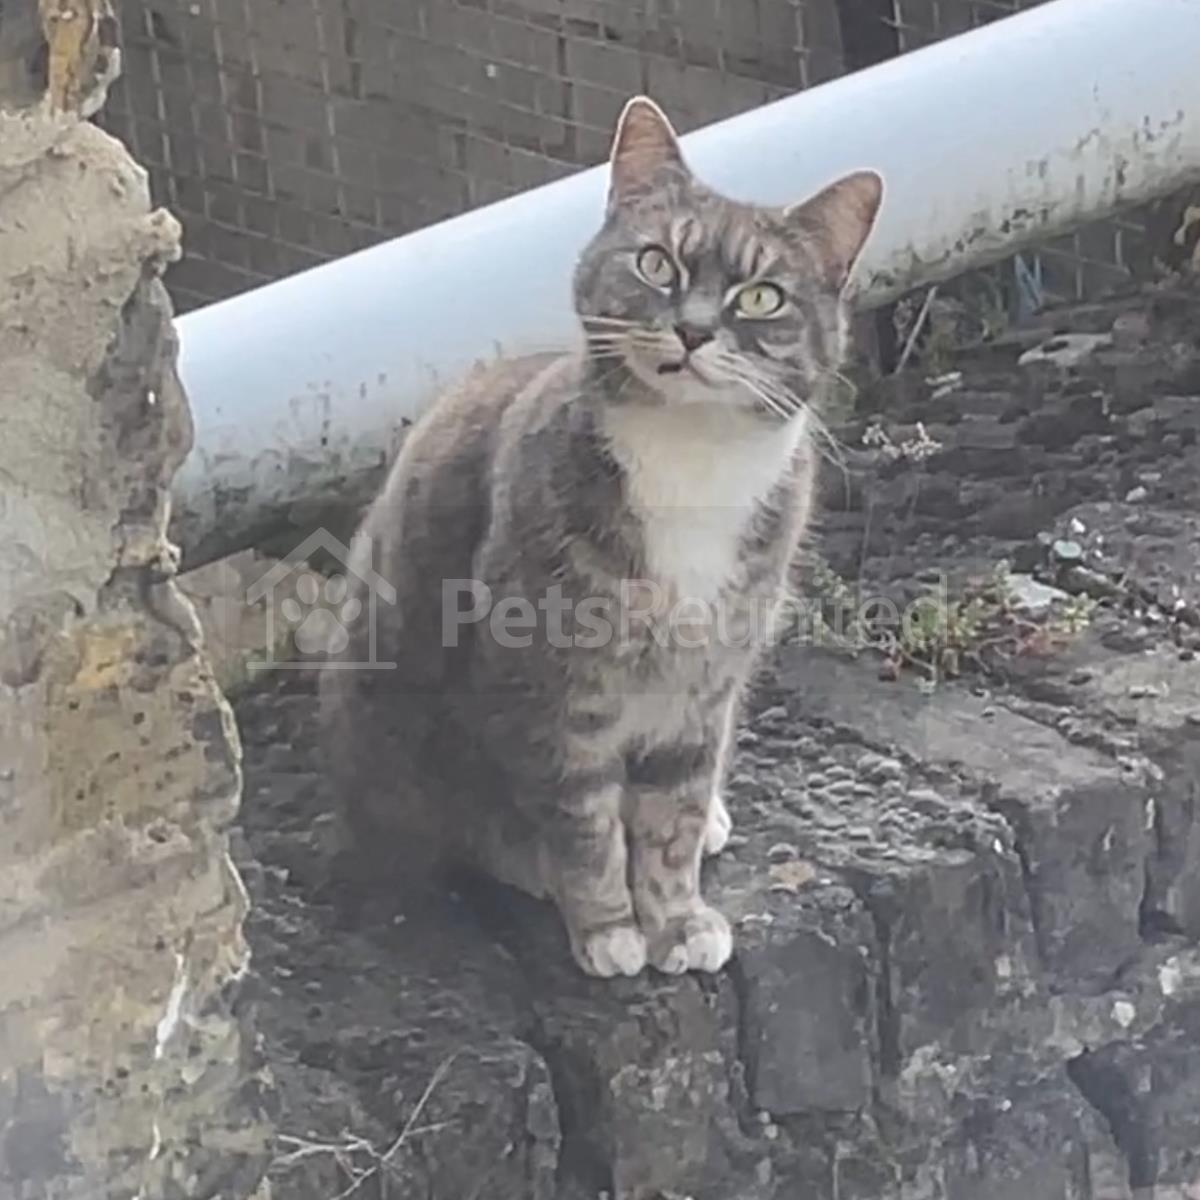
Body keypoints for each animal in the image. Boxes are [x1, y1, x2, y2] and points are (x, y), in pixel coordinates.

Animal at [319, 96, 882, 978]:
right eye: (657, 264)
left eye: (762, 297)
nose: (692, 330)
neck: (691, 462)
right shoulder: (550, 685)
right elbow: (581, 822)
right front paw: (610, 927)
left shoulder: (702, 689)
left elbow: (672, 818)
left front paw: (678, 920)